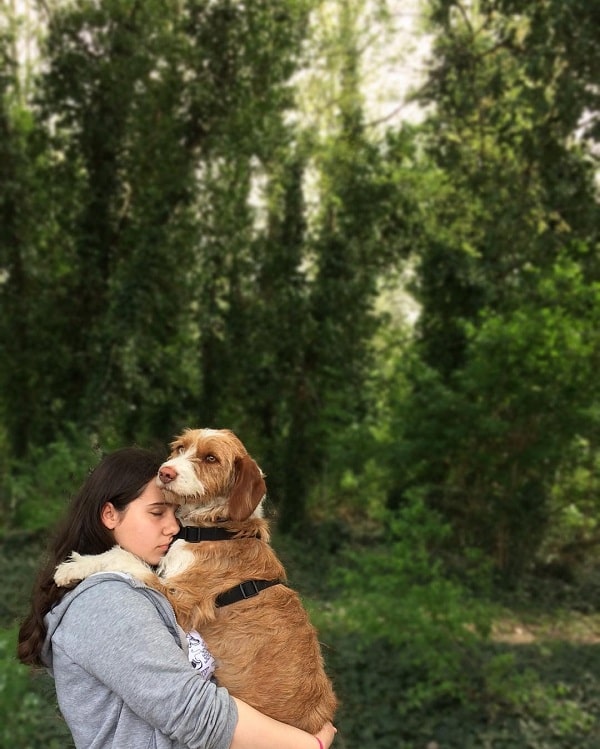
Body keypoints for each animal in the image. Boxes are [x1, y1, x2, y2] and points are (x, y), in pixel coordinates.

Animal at [54, 426, 338, 732]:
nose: (165, 472)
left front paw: (74, 567)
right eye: (180, 448)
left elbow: (125, 557)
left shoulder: (183, 604)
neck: (214, 528)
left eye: (211, 458)